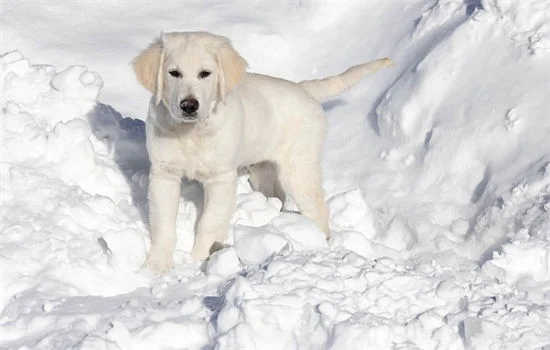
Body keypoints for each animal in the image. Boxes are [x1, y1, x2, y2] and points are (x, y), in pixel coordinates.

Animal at [133, 31, 392, 272]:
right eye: (173, 73)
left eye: (205, 73)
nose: (189, 105)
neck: (191, 132)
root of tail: (304, 89)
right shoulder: (163, 175)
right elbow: (163, 223)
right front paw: (157, 265)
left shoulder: (221, 178)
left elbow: (209, 222)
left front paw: (199, 261)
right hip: (263, 171)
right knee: (279, 195)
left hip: (299, 168)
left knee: (317, 207)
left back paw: (318, 243)